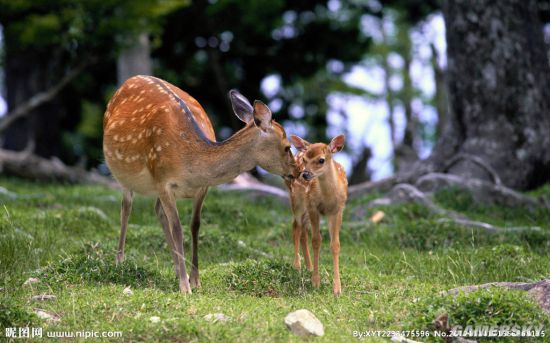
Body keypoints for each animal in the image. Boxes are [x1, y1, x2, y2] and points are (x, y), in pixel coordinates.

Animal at [101, 76, 296, 296]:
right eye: (287, 147)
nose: (298, 171)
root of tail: (130, 80)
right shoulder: (163, 180)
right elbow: (177, 228)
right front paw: (185, 288)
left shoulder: (202, 188)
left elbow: (195, 225)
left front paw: (194, 279)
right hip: (124, 174)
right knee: (126, 207)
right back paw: (120, 261)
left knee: (157, 210)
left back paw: (178, 270)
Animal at [286, 134, 348, 296]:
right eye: (305, 160)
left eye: (321, 160)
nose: (305, 174)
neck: (328, 197)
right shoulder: (313, 207)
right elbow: (316, 241)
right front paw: (315, 282)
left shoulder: (338, 210)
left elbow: (335, 245)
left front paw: (337, 289)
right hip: (297, 202)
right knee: (296, 227)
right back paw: (297, 265)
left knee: (303, 231)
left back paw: (309, 266)